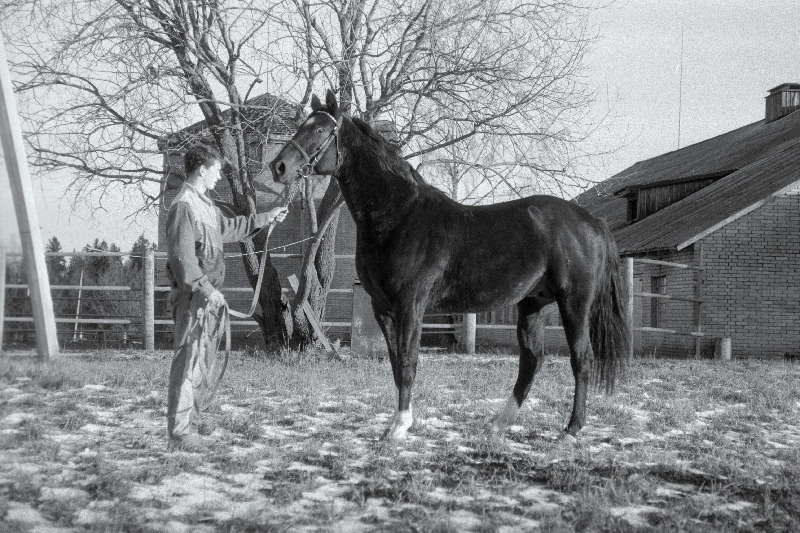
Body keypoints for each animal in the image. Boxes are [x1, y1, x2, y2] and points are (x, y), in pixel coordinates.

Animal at [272, 90, 628, 440]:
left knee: (581, 358)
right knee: (531, 360)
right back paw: (497, 425)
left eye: (320, 129)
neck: (400, 215)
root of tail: (591, 222)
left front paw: (400, 427)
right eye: (303, 125)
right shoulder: (382, 307)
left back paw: (572, 429)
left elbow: (408, 361)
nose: (279, 167)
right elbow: (395, 362)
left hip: (574, 303)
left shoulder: (410, 304)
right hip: (532, 304)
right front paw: (397, 422)